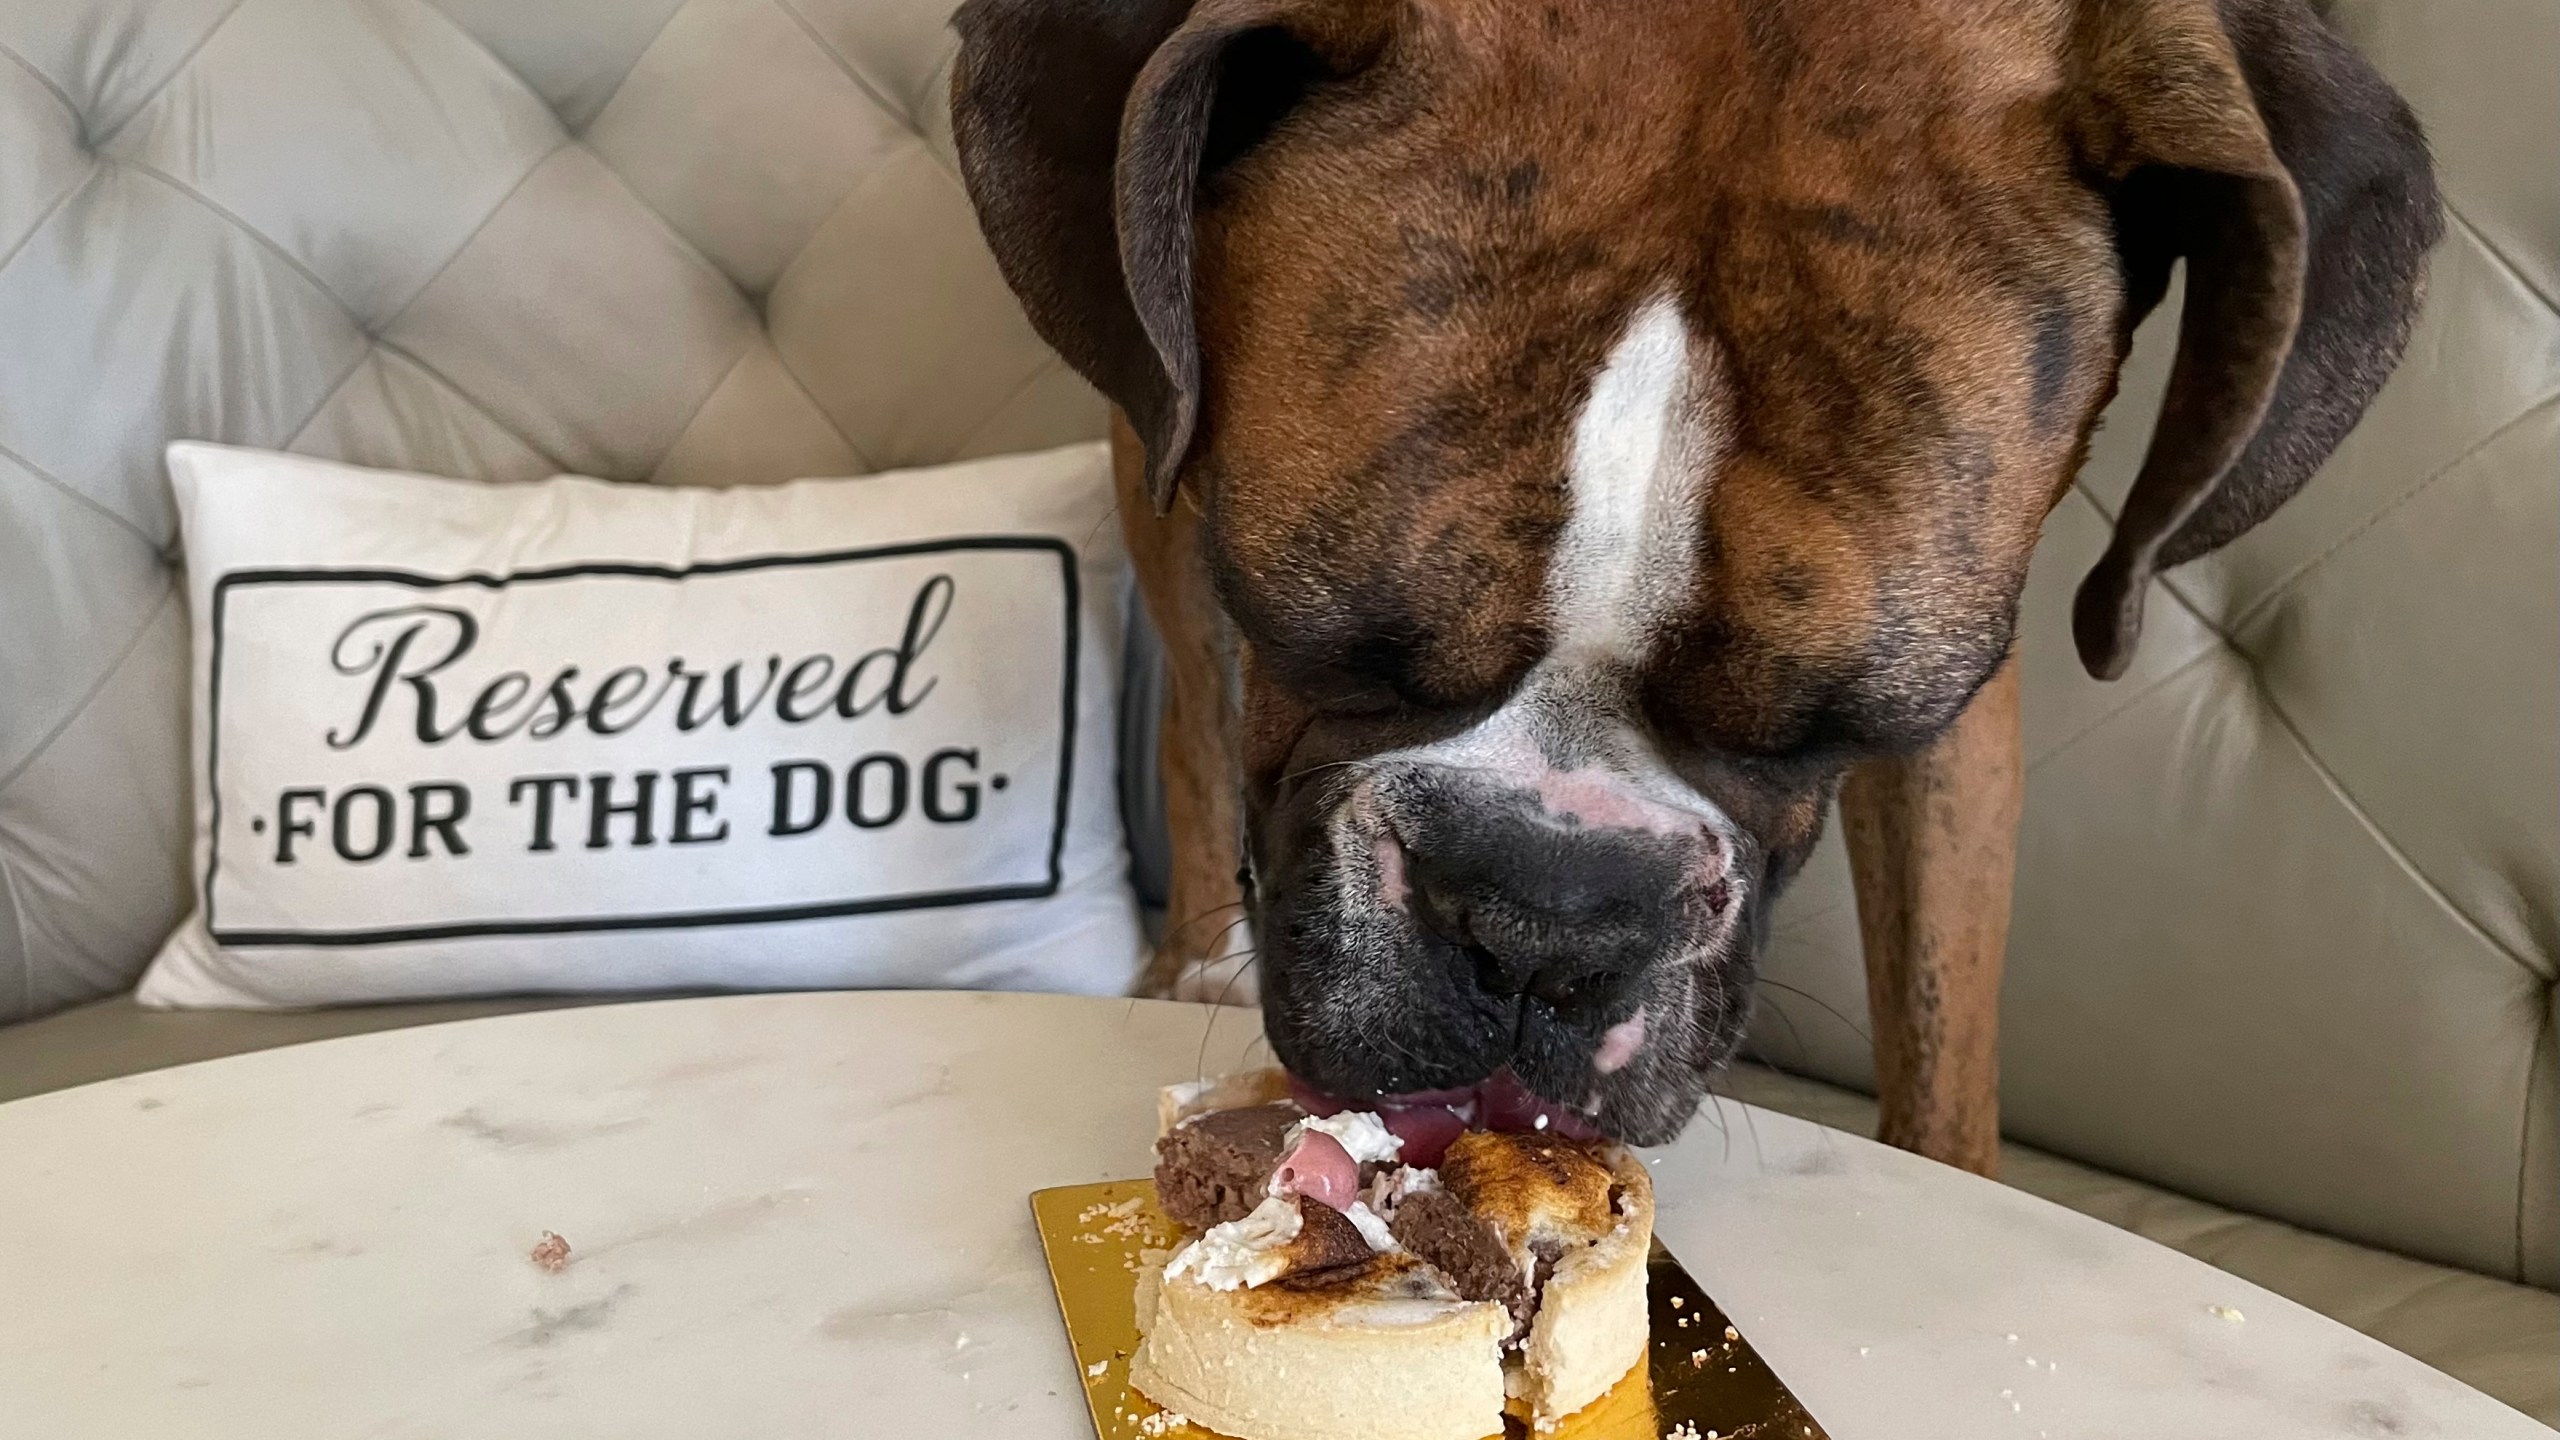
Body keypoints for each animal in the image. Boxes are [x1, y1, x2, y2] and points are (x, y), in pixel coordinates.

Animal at [947, 0, 2437, 1168]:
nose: (1545, 920)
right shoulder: (1178, 468)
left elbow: (1941, 1032)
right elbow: (1206, 695)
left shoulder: (1958, 712)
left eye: (1838, 725)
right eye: (1314, 635)